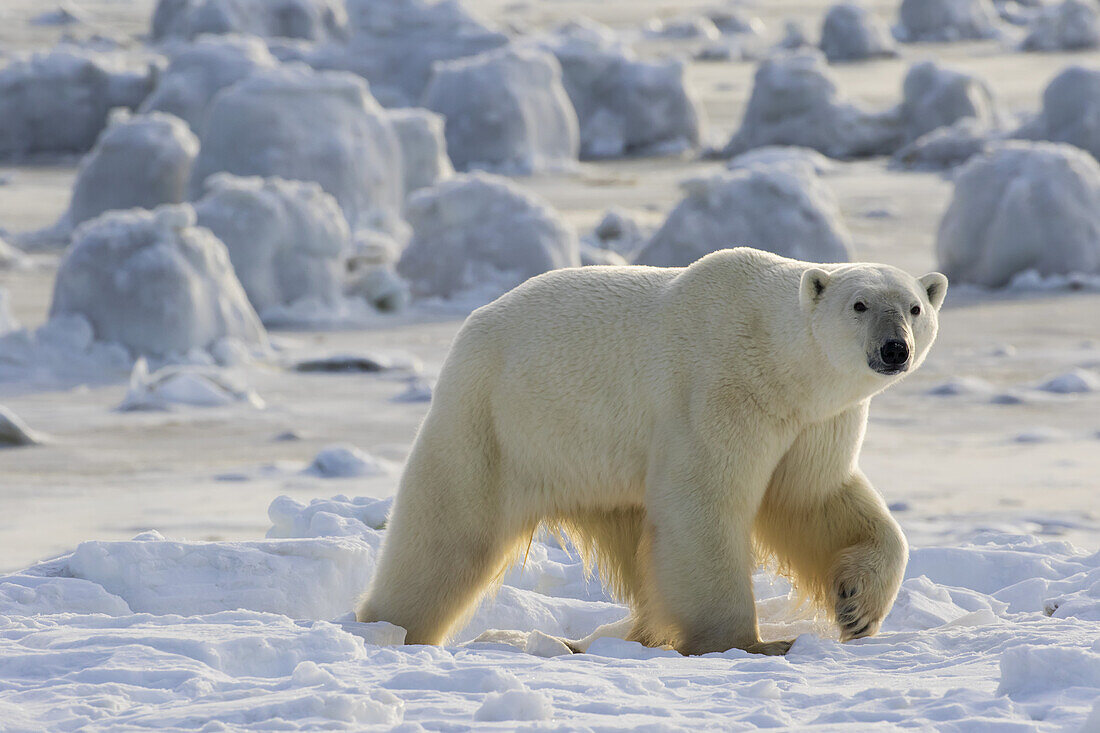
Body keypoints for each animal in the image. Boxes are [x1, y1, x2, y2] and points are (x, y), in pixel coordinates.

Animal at [360, 248, 946, 651]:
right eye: (859, 304)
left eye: (914, 307)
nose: (894, 348)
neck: (779, 362)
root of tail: (470, 330)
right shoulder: (721, 392)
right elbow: (702, 506)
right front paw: (751, 643)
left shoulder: (814, 423)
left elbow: (814, 500)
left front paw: (856, 609)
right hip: (497, 422)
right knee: (448, 535)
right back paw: (388, 628)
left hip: (593, 466)